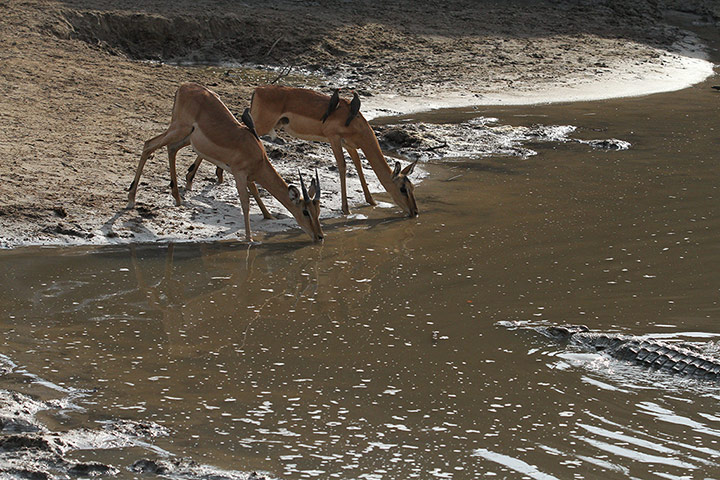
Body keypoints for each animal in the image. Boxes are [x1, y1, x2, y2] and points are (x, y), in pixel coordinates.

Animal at [126, 83, 323, 243]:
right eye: (305, 211)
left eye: (318, 210)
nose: (320, 236)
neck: (258, 155)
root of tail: (183, 86)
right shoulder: (239, 174)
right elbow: (245, 202)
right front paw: (249, 239)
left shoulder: (250, 176)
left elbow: (255, 192)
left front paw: (269, 216)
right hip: (178, 129)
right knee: (148, 145)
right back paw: (131, 200)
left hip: (187, 137)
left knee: (171, 149)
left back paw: (177, 197)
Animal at [187, 86, 419, 217]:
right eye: (402, 189)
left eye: (412, 187)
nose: (414, 212)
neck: (354, 119)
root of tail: (258, 90)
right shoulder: (334, 139)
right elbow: (343, 167)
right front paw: (346, 209)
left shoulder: (350, 145)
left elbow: (359, 166)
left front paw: (371, 201)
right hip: (260, 126)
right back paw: (191, 178)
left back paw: (214, 175)